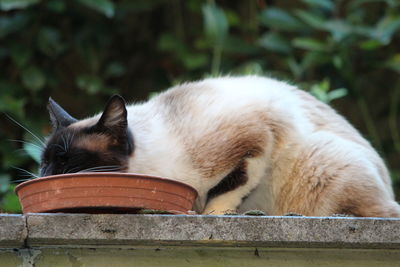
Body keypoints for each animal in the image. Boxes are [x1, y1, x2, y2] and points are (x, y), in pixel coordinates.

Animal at [40, 75, 400, 218]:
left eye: (66, 161)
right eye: (44, 162)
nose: (44, 176)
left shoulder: (256, 141)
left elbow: (228, 188)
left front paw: (211, 215)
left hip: (322, 162)